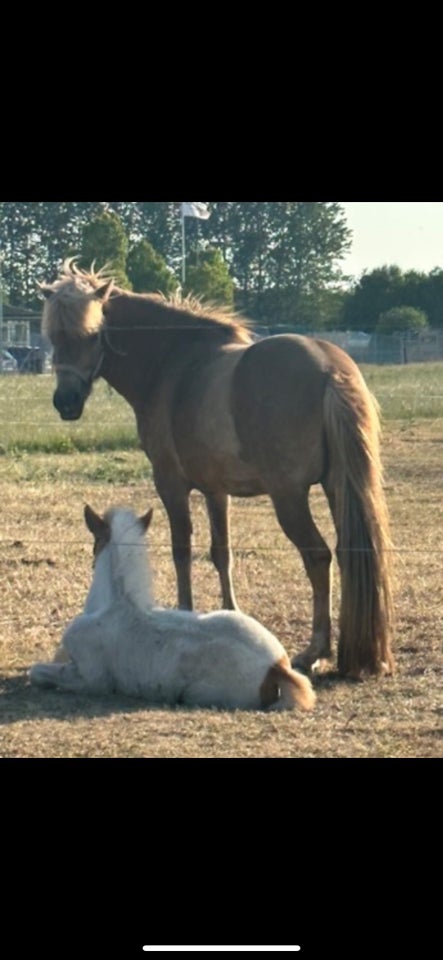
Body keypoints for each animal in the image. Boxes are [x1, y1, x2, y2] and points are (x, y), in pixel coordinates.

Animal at [30, 506, 316, 708]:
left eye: (94, 542)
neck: (117, 604)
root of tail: (276, 667)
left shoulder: (91, 680)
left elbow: (37, 672)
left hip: (197, 695)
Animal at [41, 260, 396, 676]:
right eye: (53, 335)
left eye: (93, 334)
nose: (66, 402)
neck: (172, 365)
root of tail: (329, 370)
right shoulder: (216, 489)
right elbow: (221, 552)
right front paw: (231, 614)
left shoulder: (171, 484)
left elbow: (181, 549)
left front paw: (185, 611)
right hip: (338, 487)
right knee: (347, 553)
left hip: (289, 497)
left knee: (318, 556)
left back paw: (315, 650)